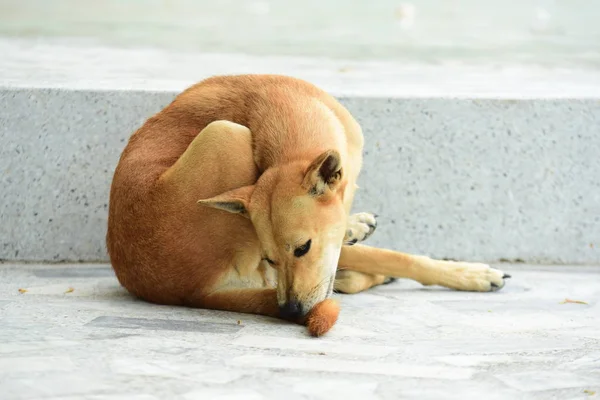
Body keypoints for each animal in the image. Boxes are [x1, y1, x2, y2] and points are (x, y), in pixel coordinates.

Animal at [105, 73, 508, 326]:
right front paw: (471, 274)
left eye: (302, 249)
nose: (291, 312)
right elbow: (391, 256)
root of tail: (185, 294)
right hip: (226, 135)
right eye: (272, 255)